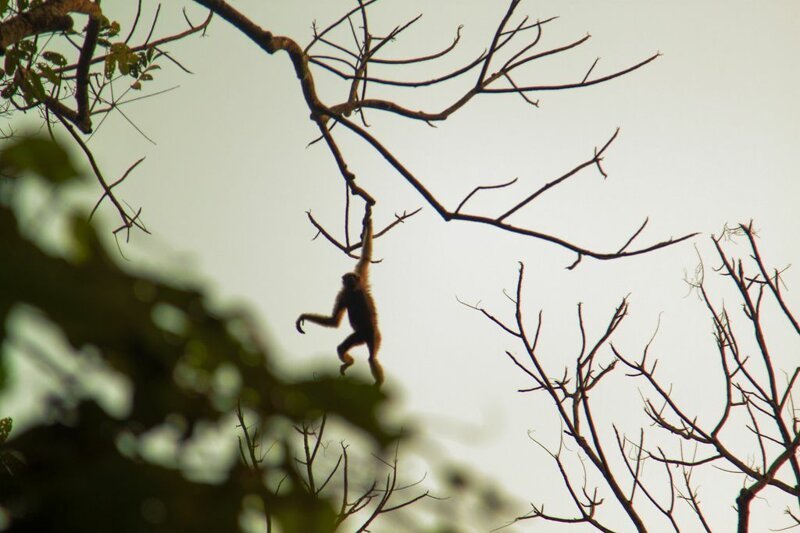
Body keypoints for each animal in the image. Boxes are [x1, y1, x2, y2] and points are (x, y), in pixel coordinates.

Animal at [296, 206, 384, 384]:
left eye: (352, 277)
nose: (351, 279)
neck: (355, 291)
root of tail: (367, 335)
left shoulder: (354, 285)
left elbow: (366, 255)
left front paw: (368, 220)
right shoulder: (350, 289)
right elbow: (334, 321)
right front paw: (368, 219)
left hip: (373, 335)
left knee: (371, 358)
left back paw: (376, 382)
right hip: (361, 336)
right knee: (344, 348)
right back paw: (350, 363)